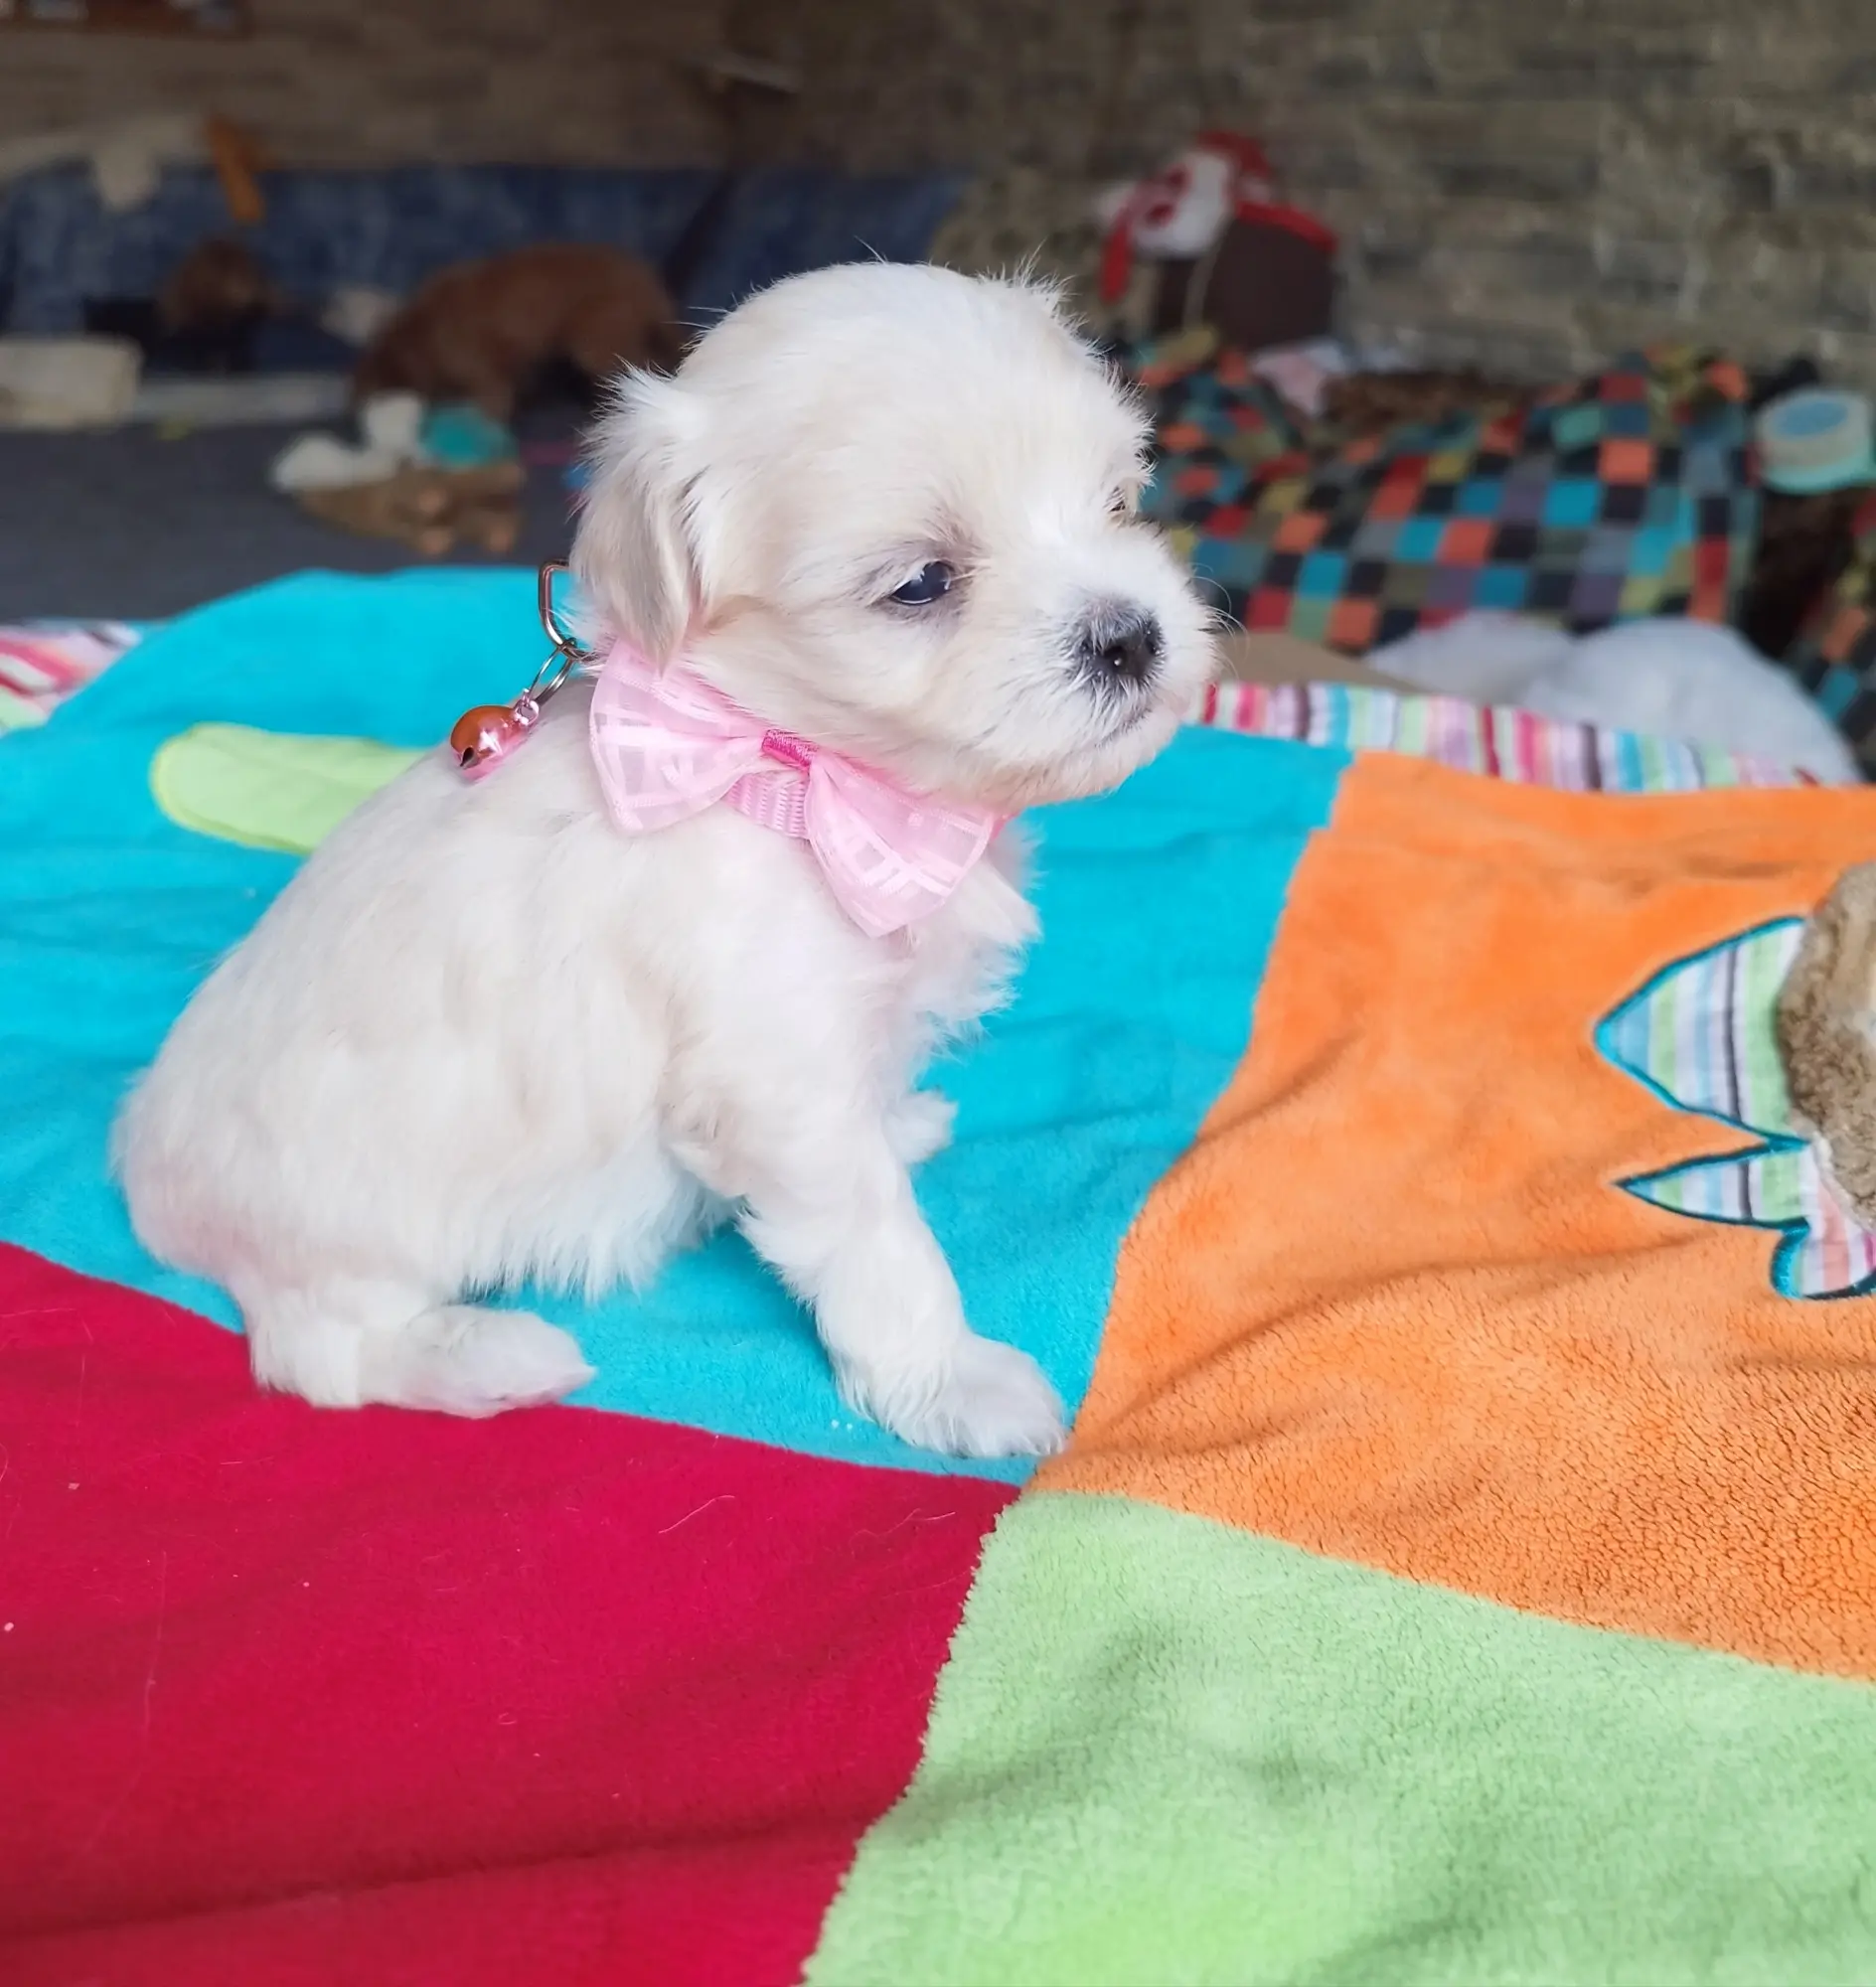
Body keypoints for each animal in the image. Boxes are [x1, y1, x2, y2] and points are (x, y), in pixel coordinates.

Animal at [114, 263, 1217, 1457]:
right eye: (923, 581)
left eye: (1120, 501)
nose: (1131, 635)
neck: (784, 775)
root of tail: (146, 1182)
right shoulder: (779, 1079)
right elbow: (881, 1248)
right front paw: (954, 1383)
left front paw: (902, 1122)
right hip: (348, 1244)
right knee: (326, 1355)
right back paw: (496, 1355)